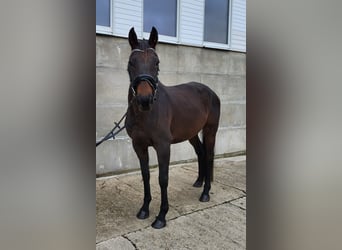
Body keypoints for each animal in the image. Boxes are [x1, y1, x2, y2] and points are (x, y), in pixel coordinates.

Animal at [124, 26, 220, 229]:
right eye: (131, 63)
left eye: (157, 62)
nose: (144, 100)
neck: (146, 114)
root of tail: (211, 92)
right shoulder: (139, 146)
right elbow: (145, 175)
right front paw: (144, 209)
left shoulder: (163, 147)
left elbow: (163, 179)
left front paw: (161, 216)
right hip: (192, 133)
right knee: (200, 152)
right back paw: (199, 182)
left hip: (210, 131)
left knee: (208, 155)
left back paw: (205, 193)